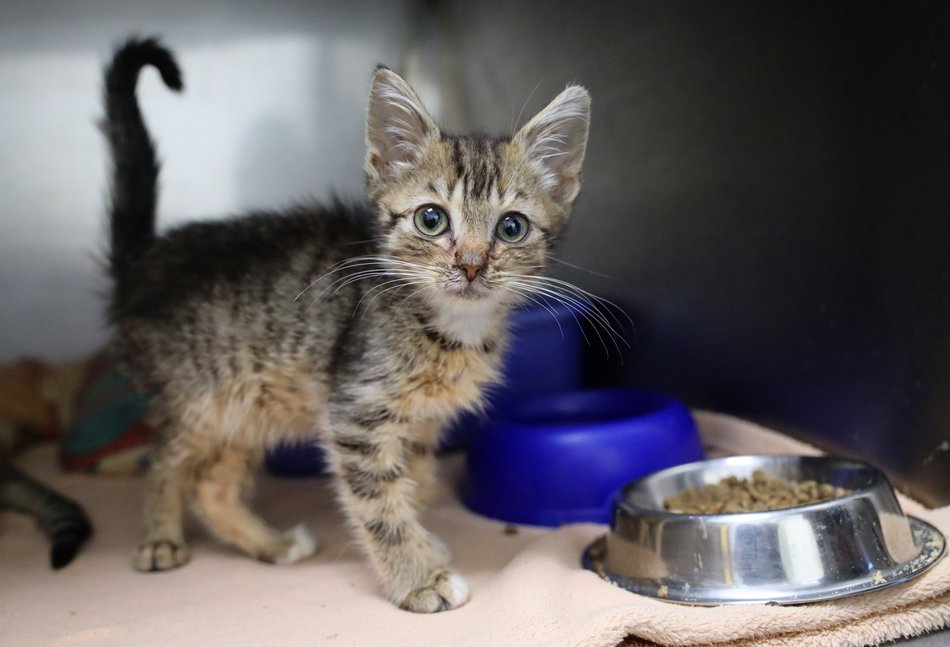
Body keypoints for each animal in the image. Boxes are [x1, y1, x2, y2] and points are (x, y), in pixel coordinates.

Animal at [108, 38, 592, 616]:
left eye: (512, 227)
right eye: (431, 219)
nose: (472, 266)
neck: (449, 328)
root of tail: (143, 261)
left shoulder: (420, 424)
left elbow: (413, 483)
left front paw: (424, 545)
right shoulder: (357, 414)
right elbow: (379, 504)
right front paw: (417, 578)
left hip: (248, 406)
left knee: (211, 486)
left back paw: (273, 544)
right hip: (198, 397)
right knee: (164, 459)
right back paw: (160, 538)